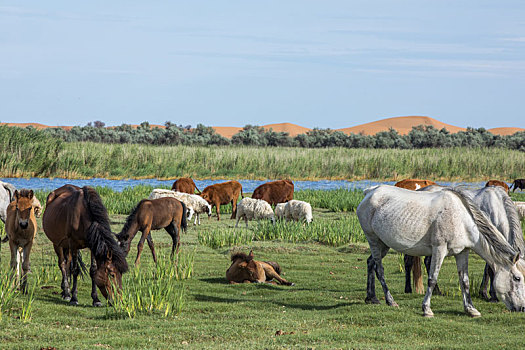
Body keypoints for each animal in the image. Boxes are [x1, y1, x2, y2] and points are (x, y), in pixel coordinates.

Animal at [356, 186, 524, 318]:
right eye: (517, 278)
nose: (521, 308)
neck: (461, 220)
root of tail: (370, 192)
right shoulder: (439, 249)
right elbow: (432, 278)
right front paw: (427, 309)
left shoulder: (462, 252)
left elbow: (465, 281)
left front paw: (471, 309)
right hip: (374, 241)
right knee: (379, 269)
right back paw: (390, 300)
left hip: (383, 244)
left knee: (370, 263)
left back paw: (371, 298)